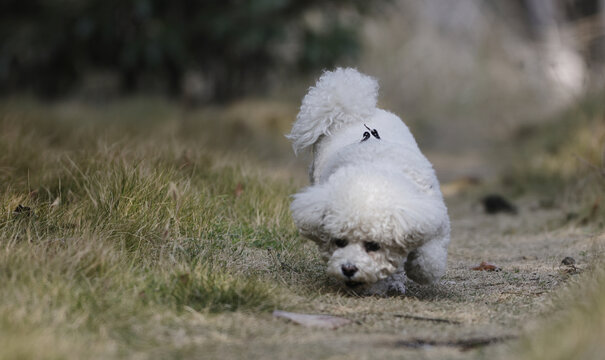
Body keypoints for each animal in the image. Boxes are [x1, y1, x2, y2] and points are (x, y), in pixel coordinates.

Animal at [286, 68, 448, 296]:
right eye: (339, 242)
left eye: (373, 245)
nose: (348, 269)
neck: (375, 167)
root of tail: (349, 115)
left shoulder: (431, 215)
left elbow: (428, 259)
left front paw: (418, 270)